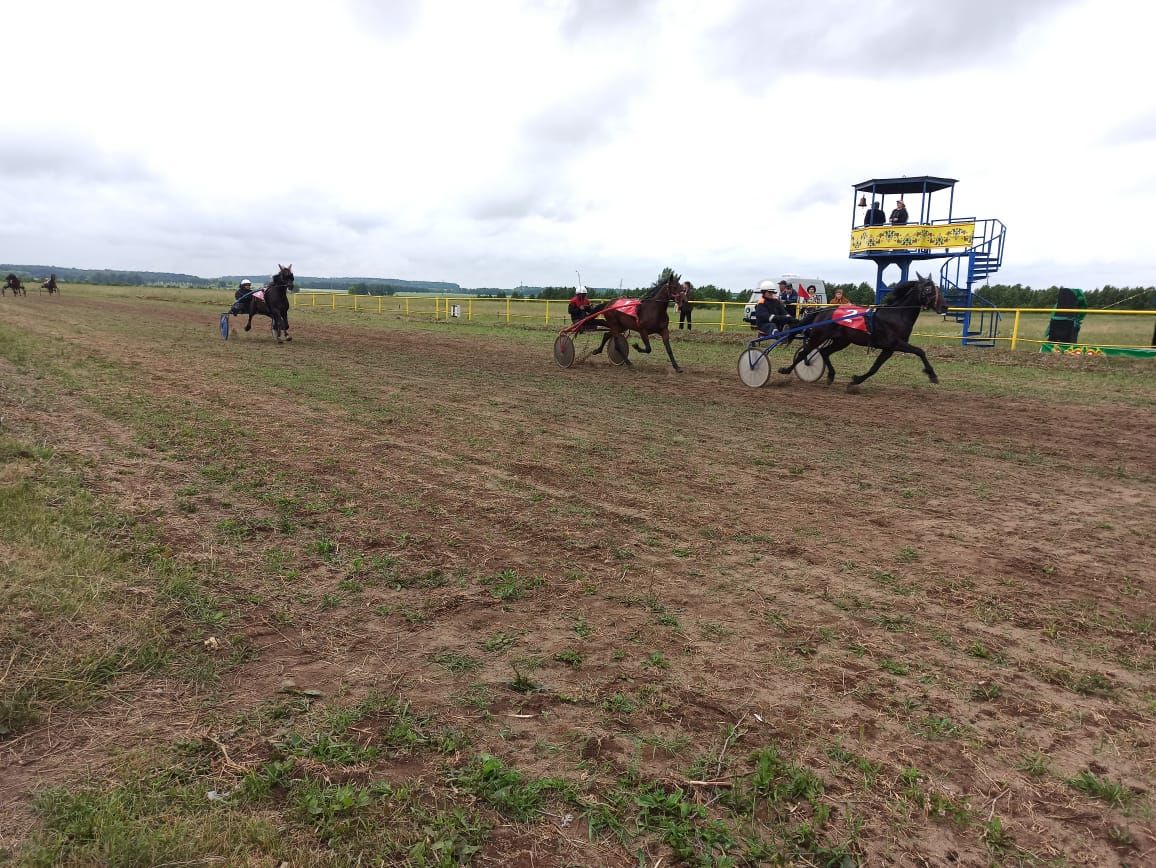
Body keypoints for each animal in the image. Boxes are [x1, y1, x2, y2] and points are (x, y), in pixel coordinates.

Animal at [776, 275, 947, 390]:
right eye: (928, 289)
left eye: (938, 289)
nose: (944, 307)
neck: (897, 314)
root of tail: (822, 311)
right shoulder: (896, 343)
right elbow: (920, 351)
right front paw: (933, 375)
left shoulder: (889, 349)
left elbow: (875, 367)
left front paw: (856, 380)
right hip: (818, 336)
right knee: (804, 353)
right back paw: (786, 370)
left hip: (842, 341)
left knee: (824, 352)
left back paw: (831, 375)